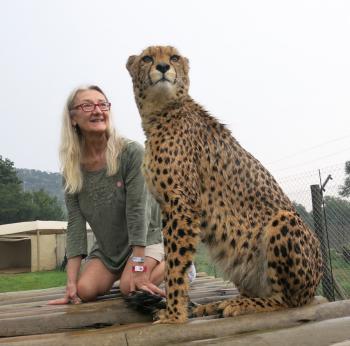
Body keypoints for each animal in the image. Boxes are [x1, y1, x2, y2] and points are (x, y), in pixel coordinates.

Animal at [126, 44, 322, 324]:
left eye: (174, 57)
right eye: (147, 58)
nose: (163, 67)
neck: (162, 111)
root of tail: (315, 282)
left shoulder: (182, 204)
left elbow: (175, 265)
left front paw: (174, 314)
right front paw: (177, 310)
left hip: (284, 221)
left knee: (287, 300)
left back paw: (240, 304)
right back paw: (218, 304)